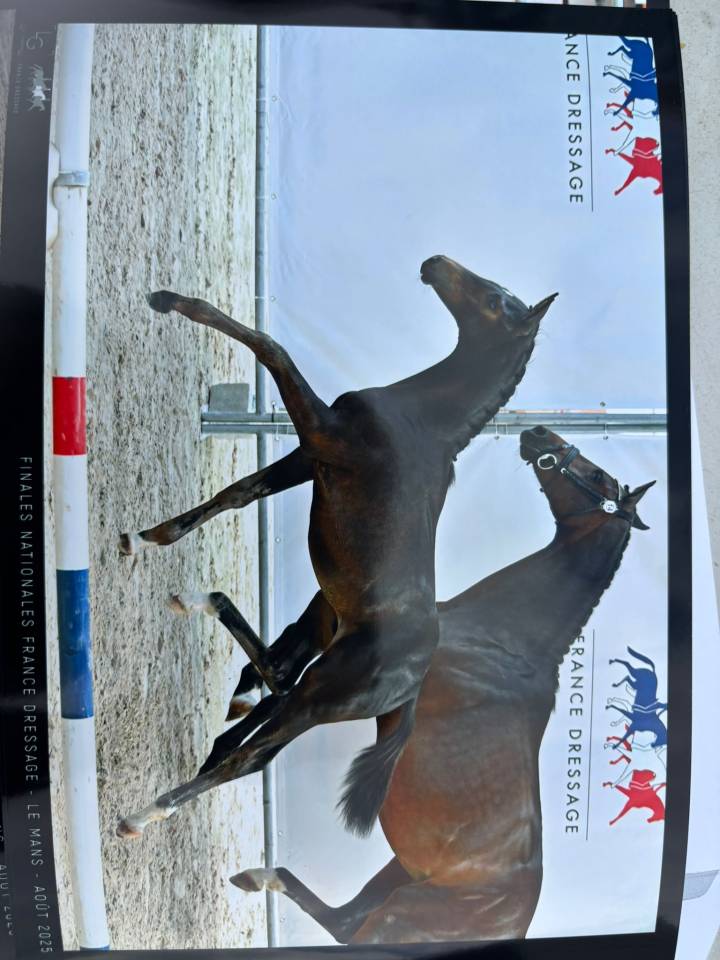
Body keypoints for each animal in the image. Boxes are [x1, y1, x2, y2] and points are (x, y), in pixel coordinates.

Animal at [116, 257, 556, 839]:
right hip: (317, 656)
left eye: (495, 302)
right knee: (253, 722)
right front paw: (144, 538)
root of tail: (413, 685)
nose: (435, 264)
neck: (422, 421)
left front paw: (167, 301)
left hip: (319, 695)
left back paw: (142, 812)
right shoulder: (310, 457)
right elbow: (235, 495)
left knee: (257, 736)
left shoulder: (322, 435)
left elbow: (269, 346)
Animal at [230, 426, 655, 943]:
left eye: (597, 478)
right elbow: (276, 688)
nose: (539, 434)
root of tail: (509, 926)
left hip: (393, 916)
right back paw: (256, 875)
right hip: (396, 875)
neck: (503, 641)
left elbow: (280, 698)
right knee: (341, 920)